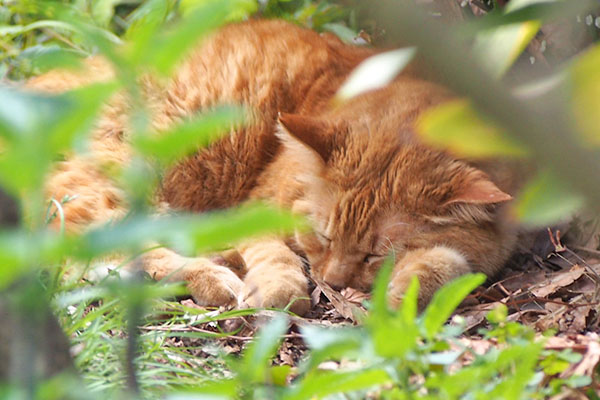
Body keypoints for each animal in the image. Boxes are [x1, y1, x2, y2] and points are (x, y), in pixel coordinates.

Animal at [29, 18, 520, 314]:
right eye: (323, 235)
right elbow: (273, 253)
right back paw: (215, 276)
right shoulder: (255, 208)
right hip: (120, 177)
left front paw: (410, 282)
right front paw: (280, 287)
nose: (334, 282)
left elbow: (457, 258)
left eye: (374, 253)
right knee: (95, 247)